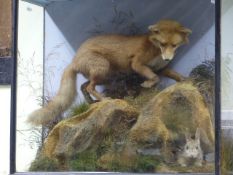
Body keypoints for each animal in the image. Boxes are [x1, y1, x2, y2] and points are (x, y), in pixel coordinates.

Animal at [27, 19, 191, 126]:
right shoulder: (137, 64)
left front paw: (184, 80)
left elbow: (173, 74)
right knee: (89, 87)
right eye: (162, 44)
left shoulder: (161, 68)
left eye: (174, 45)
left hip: (104, 76)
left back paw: (92, 102)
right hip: (103, 69)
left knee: (83, 86)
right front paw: (147, 84)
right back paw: (104, 100)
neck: (155, 50)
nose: (167, 58)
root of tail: (74, 60)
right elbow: (155, 78)